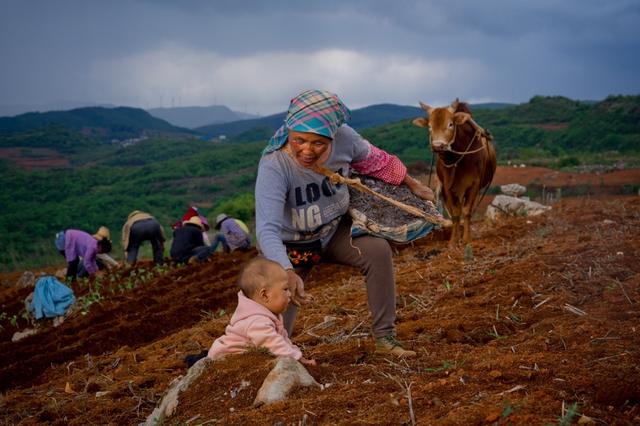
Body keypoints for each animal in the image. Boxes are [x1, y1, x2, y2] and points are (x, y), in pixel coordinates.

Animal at [412, 100, 498, 245]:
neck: (457, 160)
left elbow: (467, 211)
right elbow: (455, 213)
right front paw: (453, 240)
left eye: (450, 124)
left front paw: (467, 239)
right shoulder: (447, 187)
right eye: (429, 126)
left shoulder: (474, 185)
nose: (438, 146)